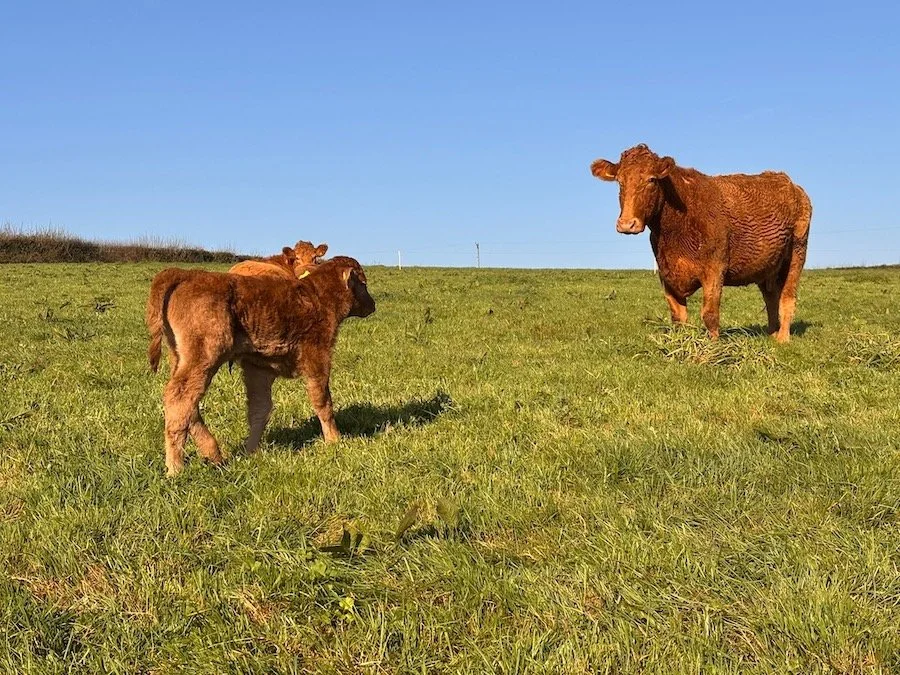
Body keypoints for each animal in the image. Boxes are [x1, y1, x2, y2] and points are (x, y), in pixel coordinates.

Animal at [146, 256, 375, 476]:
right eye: (363, 283)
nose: (373, 304)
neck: (316, 296)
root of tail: (185, 274)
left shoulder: (259, 368)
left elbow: (260, 409)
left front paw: (251, 451)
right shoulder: (317, 356)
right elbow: (322, 401)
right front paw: (334, 440)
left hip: (181, 358)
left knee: (185, 403)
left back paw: (213, 454)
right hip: (203, 356)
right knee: (180, 397)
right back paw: (176, 468)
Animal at [590, 144, 812, 342]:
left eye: (651, 179)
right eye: (620, 181)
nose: (627, 224)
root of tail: (789, 182)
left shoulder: (715, 268)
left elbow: (710, 315)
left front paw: (713, 350)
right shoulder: (666, 273)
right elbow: (678, 317)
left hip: (797, 252)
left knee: (787, 297)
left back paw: (782, 338)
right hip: (767, 266)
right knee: (771, 298)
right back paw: (772, 334)